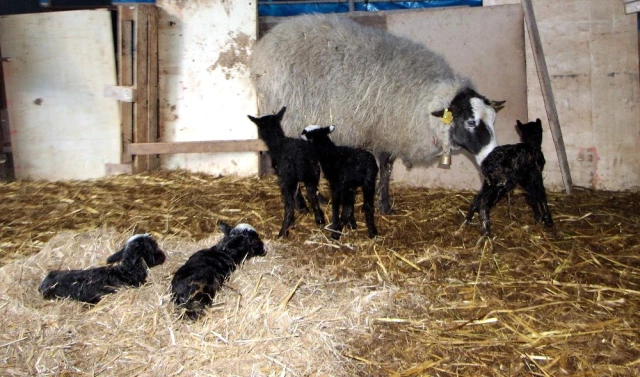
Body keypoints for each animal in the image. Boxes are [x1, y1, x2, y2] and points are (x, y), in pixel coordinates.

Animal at [246, 104, 324, 236]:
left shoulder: (285, 176)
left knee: (289, 205)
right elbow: (299, 192)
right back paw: (319, 219)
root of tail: (301, 158)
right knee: (313, 197)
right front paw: (303, 207)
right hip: (312, 175)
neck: (278, 142)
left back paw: (284, 230)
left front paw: (298, 212)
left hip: (288, 179)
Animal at [250, 13, 504, 214]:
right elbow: (385, 167)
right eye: (470, 122)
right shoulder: (384, 131)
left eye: (493, 120)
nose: (492, 158)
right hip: (291, 118)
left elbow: (386, 169)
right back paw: (302, 203)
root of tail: (262, 48)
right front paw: (384, 205)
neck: (426, 99)